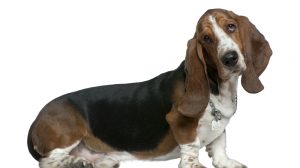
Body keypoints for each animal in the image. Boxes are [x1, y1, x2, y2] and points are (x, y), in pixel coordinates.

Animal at [28, 8, 272, 167]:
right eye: (206, 39)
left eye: (231, 26)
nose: (229, 59)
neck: (218, 89)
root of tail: (36, 120)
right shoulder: (180, 122)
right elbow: (191, 148)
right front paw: (195, 164)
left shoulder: (219, 127)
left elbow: (220, 142)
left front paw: (225, 162)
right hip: (69, 130)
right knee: (47, 160)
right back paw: (75, 162)